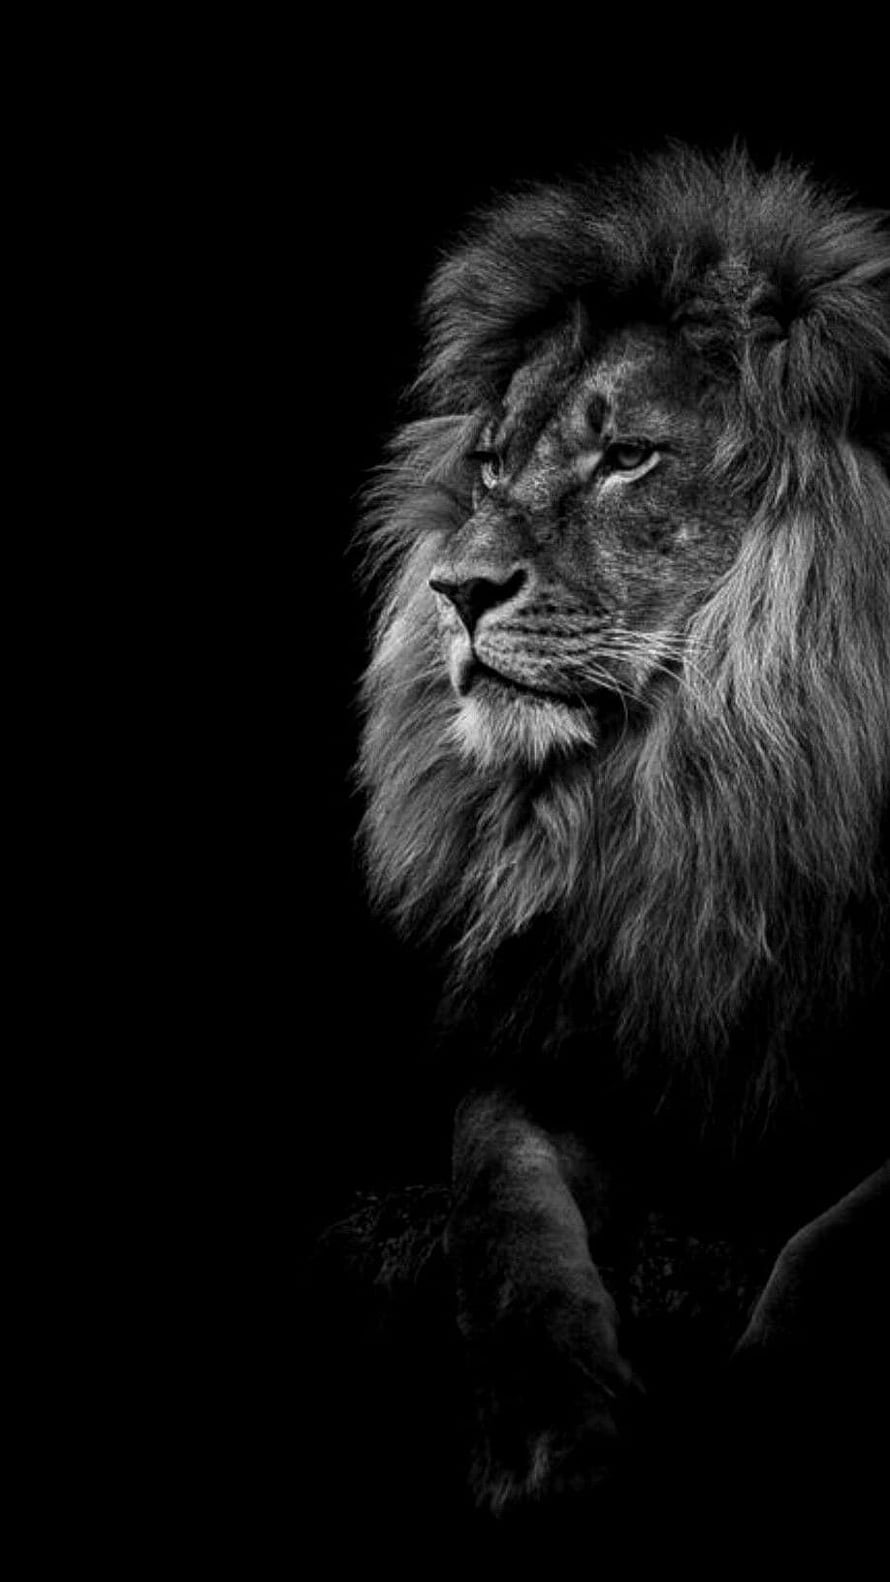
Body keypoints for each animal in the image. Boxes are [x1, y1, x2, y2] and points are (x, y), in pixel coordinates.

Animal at [357, 145, 890, 1518]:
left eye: (629, 458)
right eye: (491, 464)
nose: (455, 589)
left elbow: (829, 1249)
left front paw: (758, 1427)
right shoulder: (554, 1034)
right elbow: (505, 1218)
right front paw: (551, 1432)